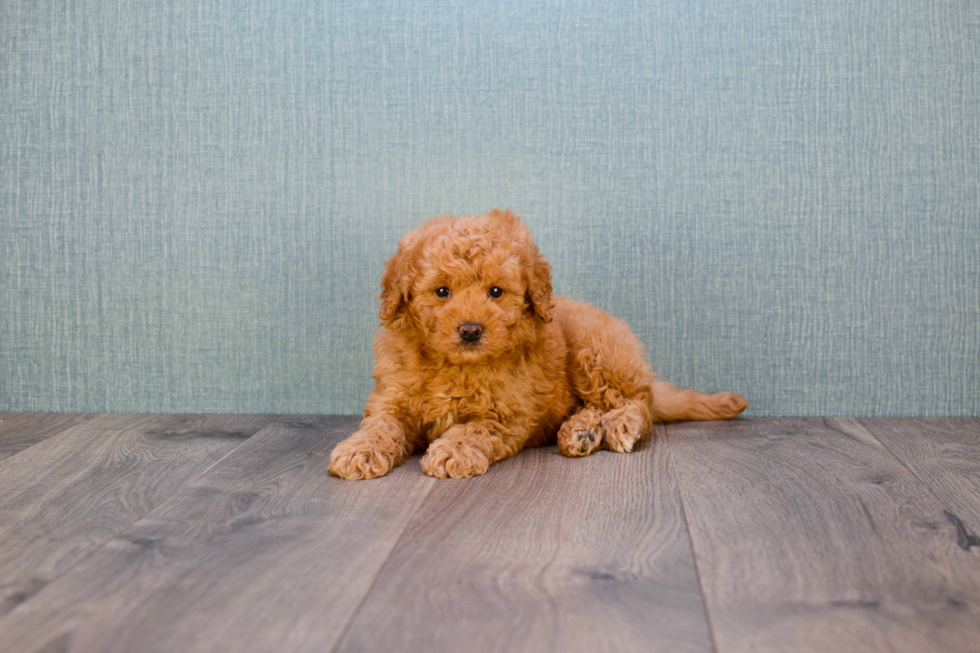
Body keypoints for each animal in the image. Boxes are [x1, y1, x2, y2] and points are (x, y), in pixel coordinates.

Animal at [326, 210, 748, 478]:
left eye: (496, 292)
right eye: (442, 291)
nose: (470, 330)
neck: (456, 365)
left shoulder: (505, 415)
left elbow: (473, 430)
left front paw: (452, 451)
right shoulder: (392, 398)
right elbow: (381, 426)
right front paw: (359, 450)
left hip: (595, 350)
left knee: (636, 402)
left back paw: (614, 425)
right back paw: (582, 431)